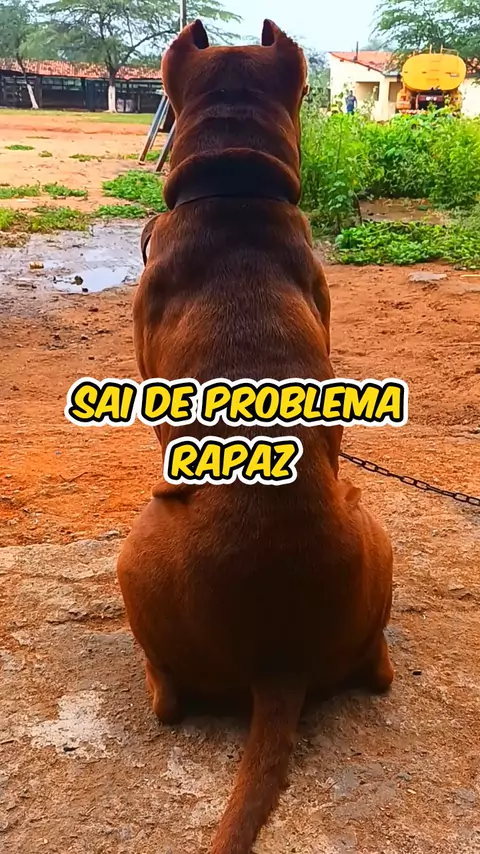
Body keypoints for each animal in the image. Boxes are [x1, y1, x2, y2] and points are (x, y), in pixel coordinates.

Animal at [117, 19, 394, 854]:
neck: (234, 191)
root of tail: (280, 662)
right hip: (376, 534)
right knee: (378, 670)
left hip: (133, 556)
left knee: (168, 700)